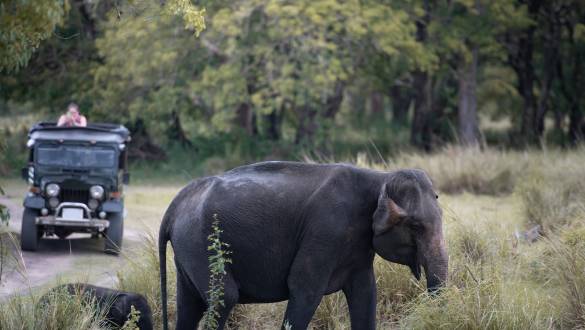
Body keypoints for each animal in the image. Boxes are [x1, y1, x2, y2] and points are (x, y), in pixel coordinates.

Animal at [157, 161, 444, 328]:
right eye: (416, 227)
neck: (379, 179)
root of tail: (174, 205)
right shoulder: (326, 229)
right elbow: (304, 288)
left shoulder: (358, 246)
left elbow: (365, 293)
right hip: (201, 241)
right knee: (223, 298)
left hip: (188, 247)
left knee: (189, 305)